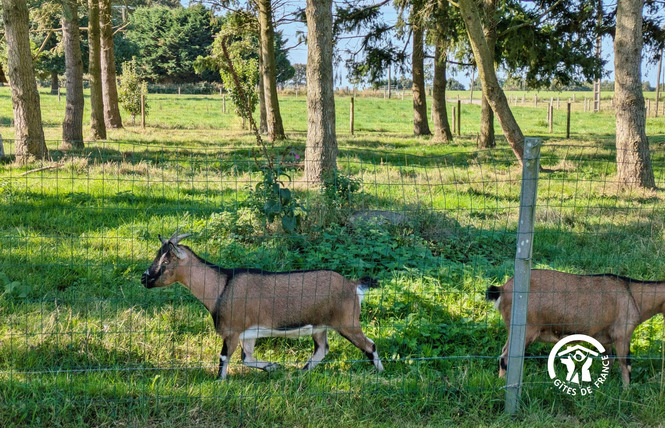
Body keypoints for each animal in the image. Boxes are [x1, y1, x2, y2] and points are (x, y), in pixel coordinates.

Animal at [140, 232, 384, 380]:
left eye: (166, 261)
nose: (144, 278)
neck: (221, 286)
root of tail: (352, 285)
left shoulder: (232, 331)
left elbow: (224, 358)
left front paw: (219, 381)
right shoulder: (248, 333)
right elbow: (246, 359)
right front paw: (272, 366)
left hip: (347, 322)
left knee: (369, 345)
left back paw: (381, 373)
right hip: (320, 327)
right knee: (322, 349)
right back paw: (301, 372)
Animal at [486, 270, 664, 388]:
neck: (633, 295)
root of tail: (503, 289)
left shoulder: (605, 338)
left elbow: (609, 361)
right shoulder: (622, 334)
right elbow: (626, 365)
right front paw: (626, 393)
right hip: (526, 329)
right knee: (505, 357)